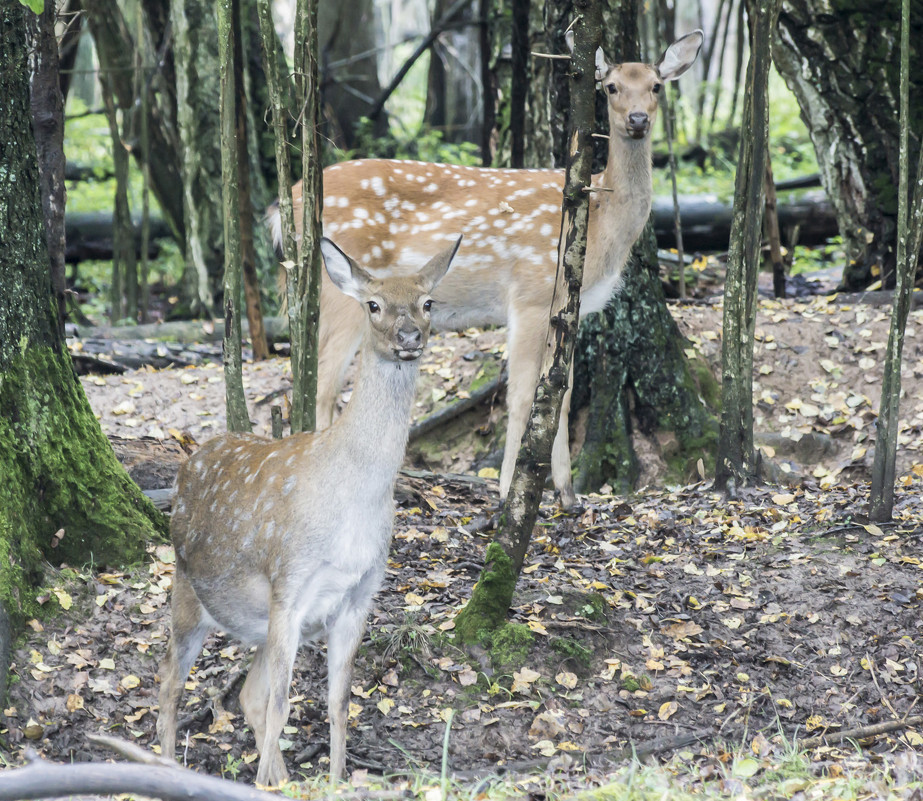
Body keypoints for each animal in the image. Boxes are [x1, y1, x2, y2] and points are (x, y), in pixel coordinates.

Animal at [159, 234, 466, 784]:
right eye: (373, 304)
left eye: (428, 302)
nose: (409, 336)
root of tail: (191, 455)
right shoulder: (289, 582)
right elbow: (284, 704)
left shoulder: (359, 595)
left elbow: (338, 703)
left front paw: (337, 779)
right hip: (188, 590)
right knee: (170, 683)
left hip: (259, 623)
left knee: (247, 693)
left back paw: (278, 776)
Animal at [270, 32, 704, 506]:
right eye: (610, 88)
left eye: (656, 86)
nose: (638, 119)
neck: (601, 225)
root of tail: (284, 206)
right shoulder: (531, 294)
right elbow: (523, 397)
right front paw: (509, 491)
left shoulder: (572, 310)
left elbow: (562, 392)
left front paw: (567, 493)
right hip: (344, 287)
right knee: (320, 383)